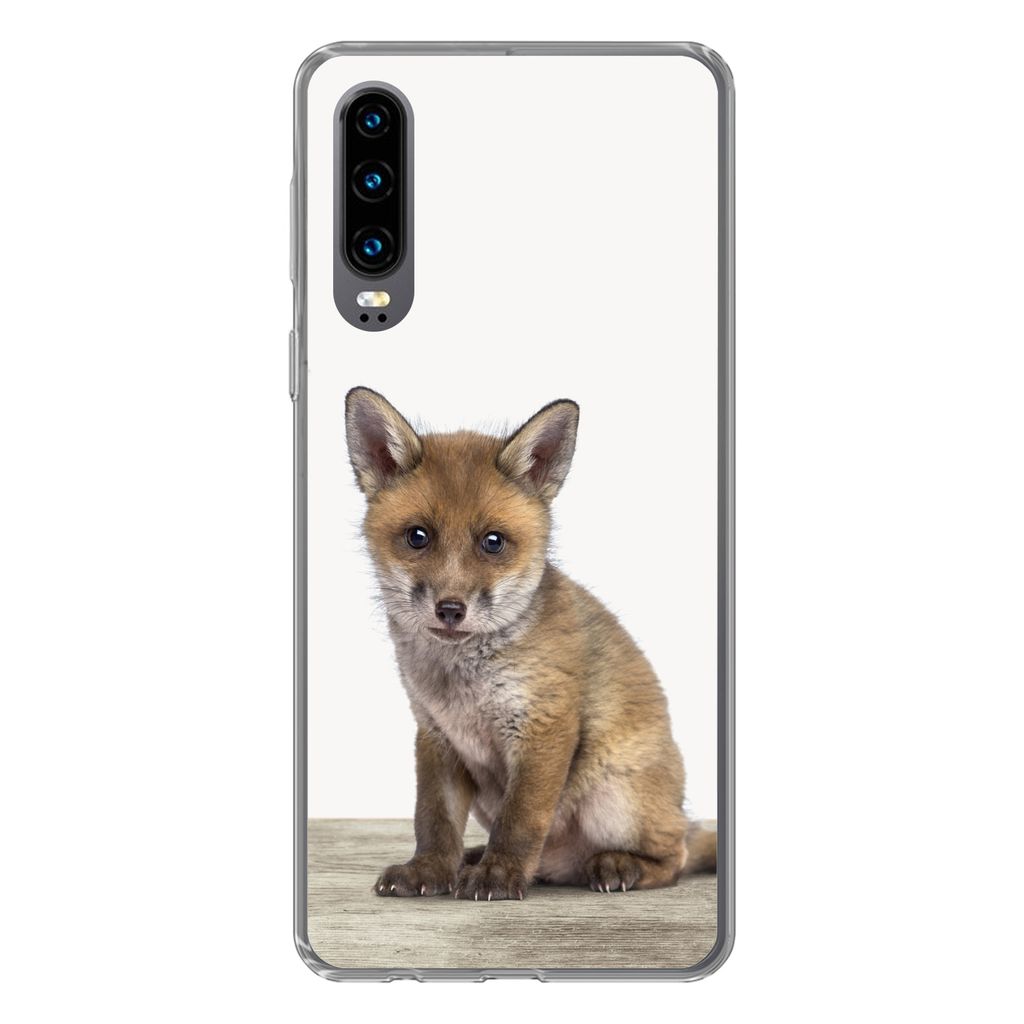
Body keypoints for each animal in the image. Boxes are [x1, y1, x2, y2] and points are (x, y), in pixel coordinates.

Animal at [344, 386, 716, 900]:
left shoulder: (544, 725)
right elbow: (434, 819)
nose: (450, 609)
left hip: (615, 799)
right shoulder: (436, 736)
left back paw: (619, 865)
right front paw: (430, 870)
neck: (463, 686)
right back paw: (477, 858)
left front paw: (499, 875)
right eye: (418, 537)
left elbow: (521, 819)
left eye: (493, 542)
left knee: (675, 856)